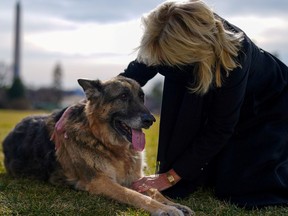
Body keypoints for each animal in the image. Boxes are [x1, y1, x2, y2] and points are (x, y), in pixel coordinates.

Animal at [2, 76, 194, 216]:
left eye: (141, 97)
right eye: (123, 96)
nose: (151, 120)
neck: (106, 143)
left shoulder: (136, 178)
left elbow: (154, 190)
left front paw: (173, 204)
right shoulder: (101, 182)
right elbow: (135, 195)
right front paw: (165, 209)